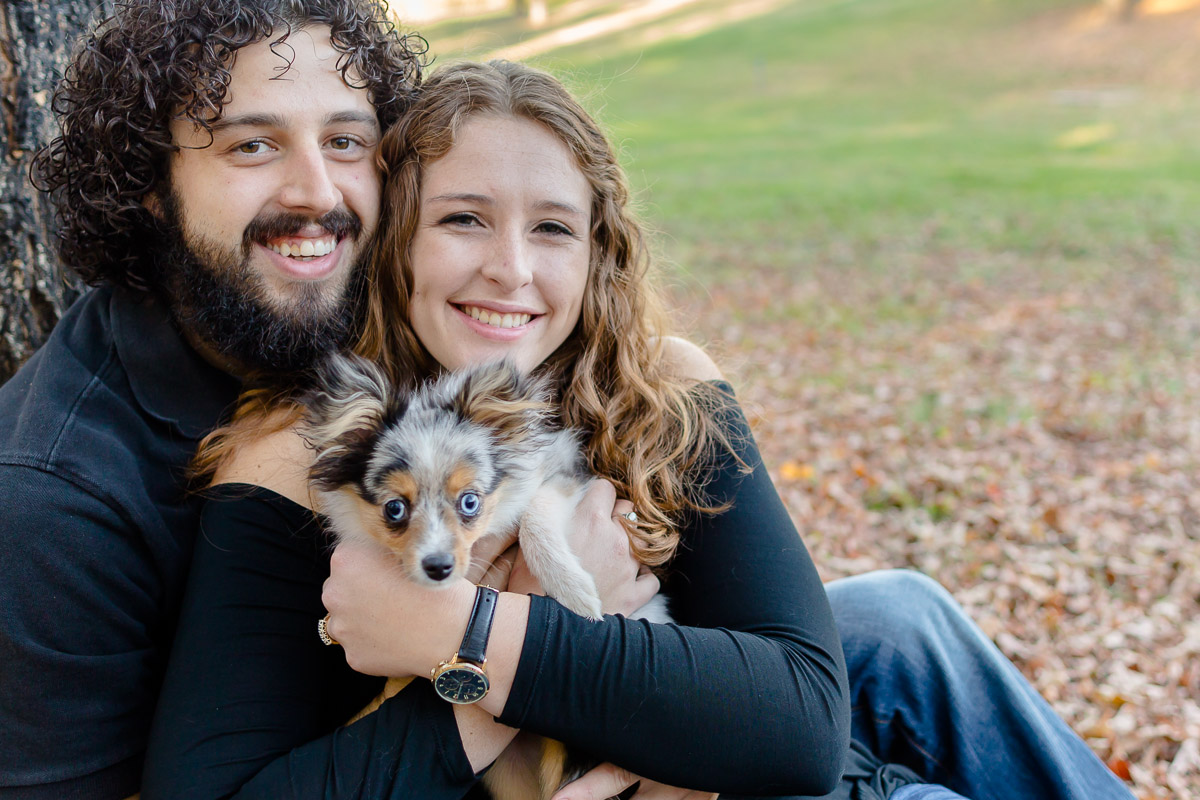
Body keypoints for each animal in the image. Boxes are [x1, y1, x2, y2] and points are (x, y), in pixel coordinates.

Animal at [300, 355, 672, 800]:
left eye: (470, 502)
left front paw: (572, 588)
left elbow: (533, 515)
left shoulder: (563, 479)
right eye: (395, 509)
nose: (438, 566)